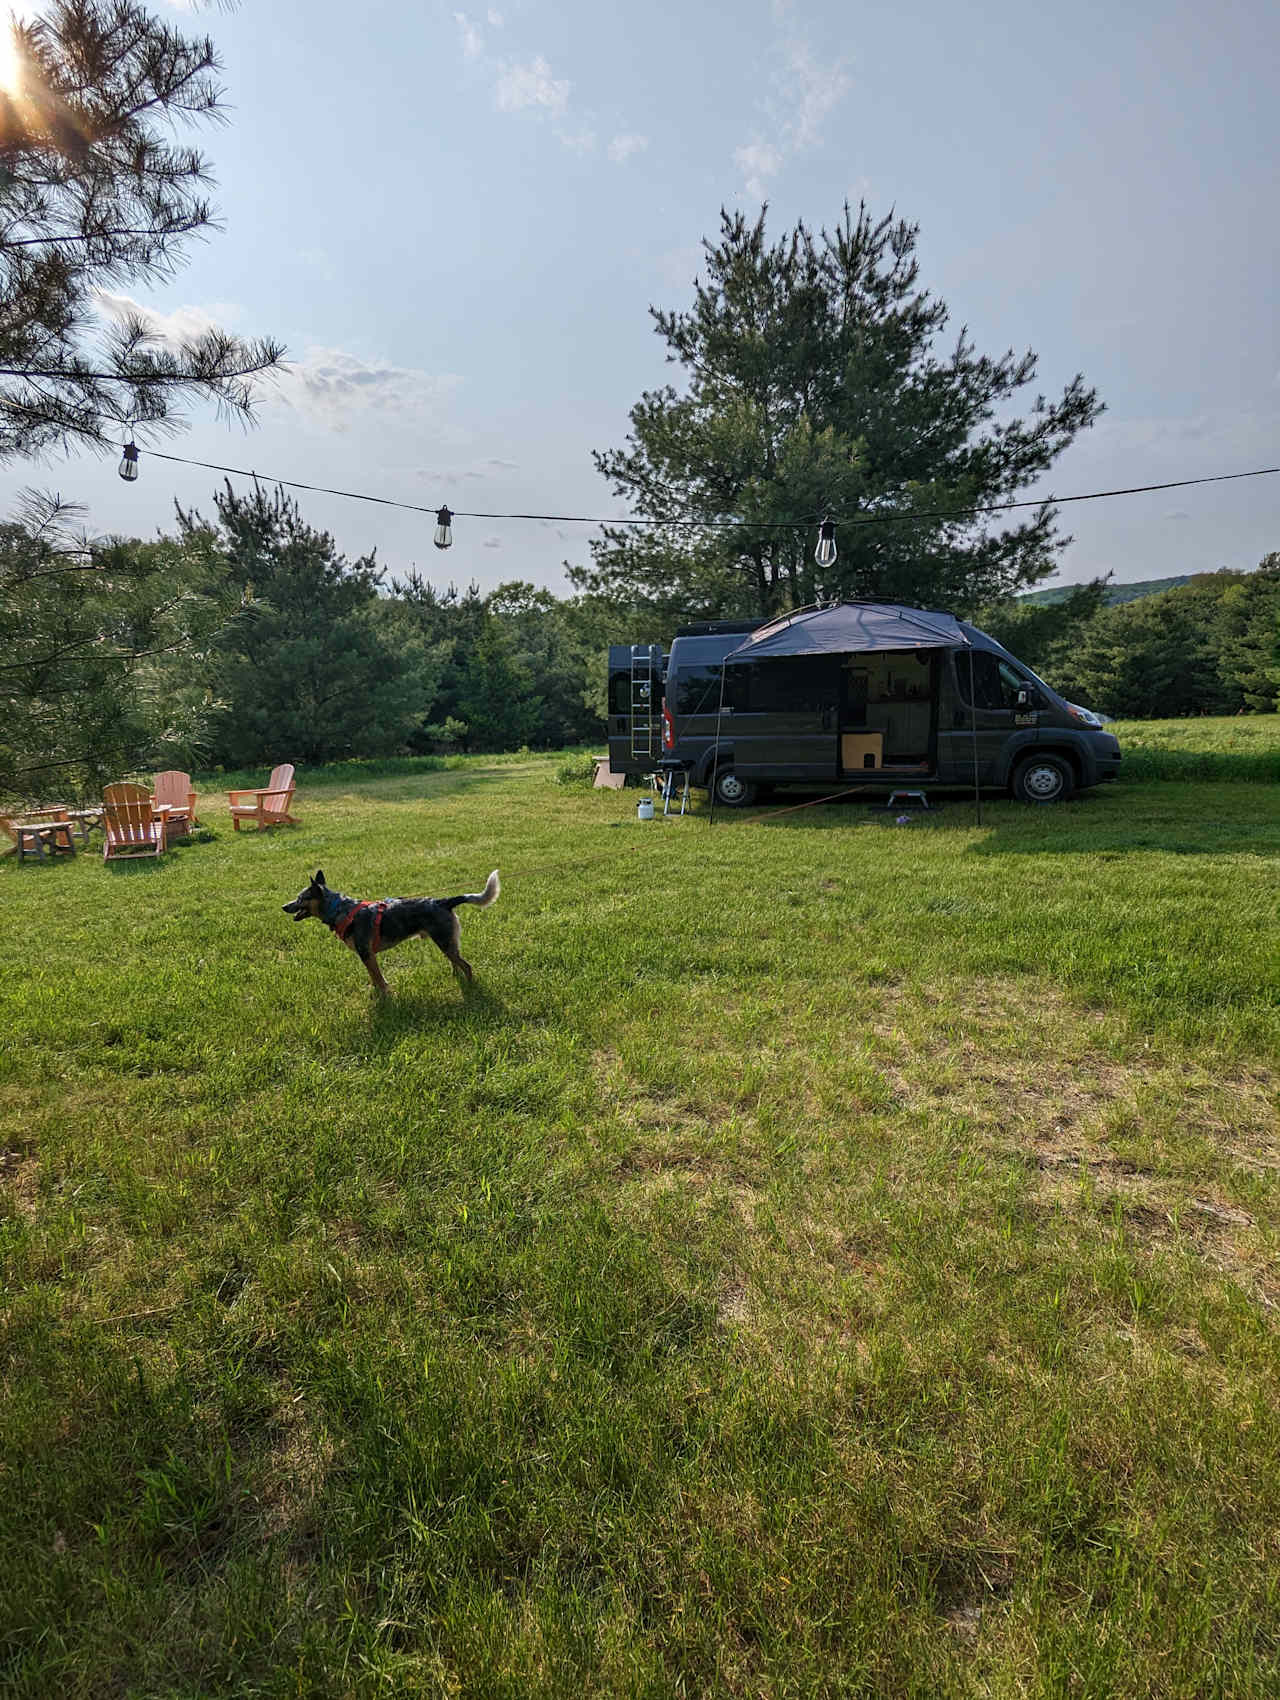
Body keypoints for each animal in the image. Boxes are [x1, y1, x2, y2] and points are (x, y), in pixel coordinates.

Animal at [283, 870, 499, 992]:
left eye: (301, 898)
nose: (284, 906)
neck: (340, 910)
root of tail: (443, 901)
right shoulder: (367, 956)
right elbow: (374, 977)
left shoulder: (367, 954)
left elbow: (378, 978)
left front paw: (385, 995)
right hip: (447, 942)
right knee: (456, 962)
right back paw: (457, 978)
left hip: (444, 941)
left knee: (467, 966)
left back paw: (470, 987)